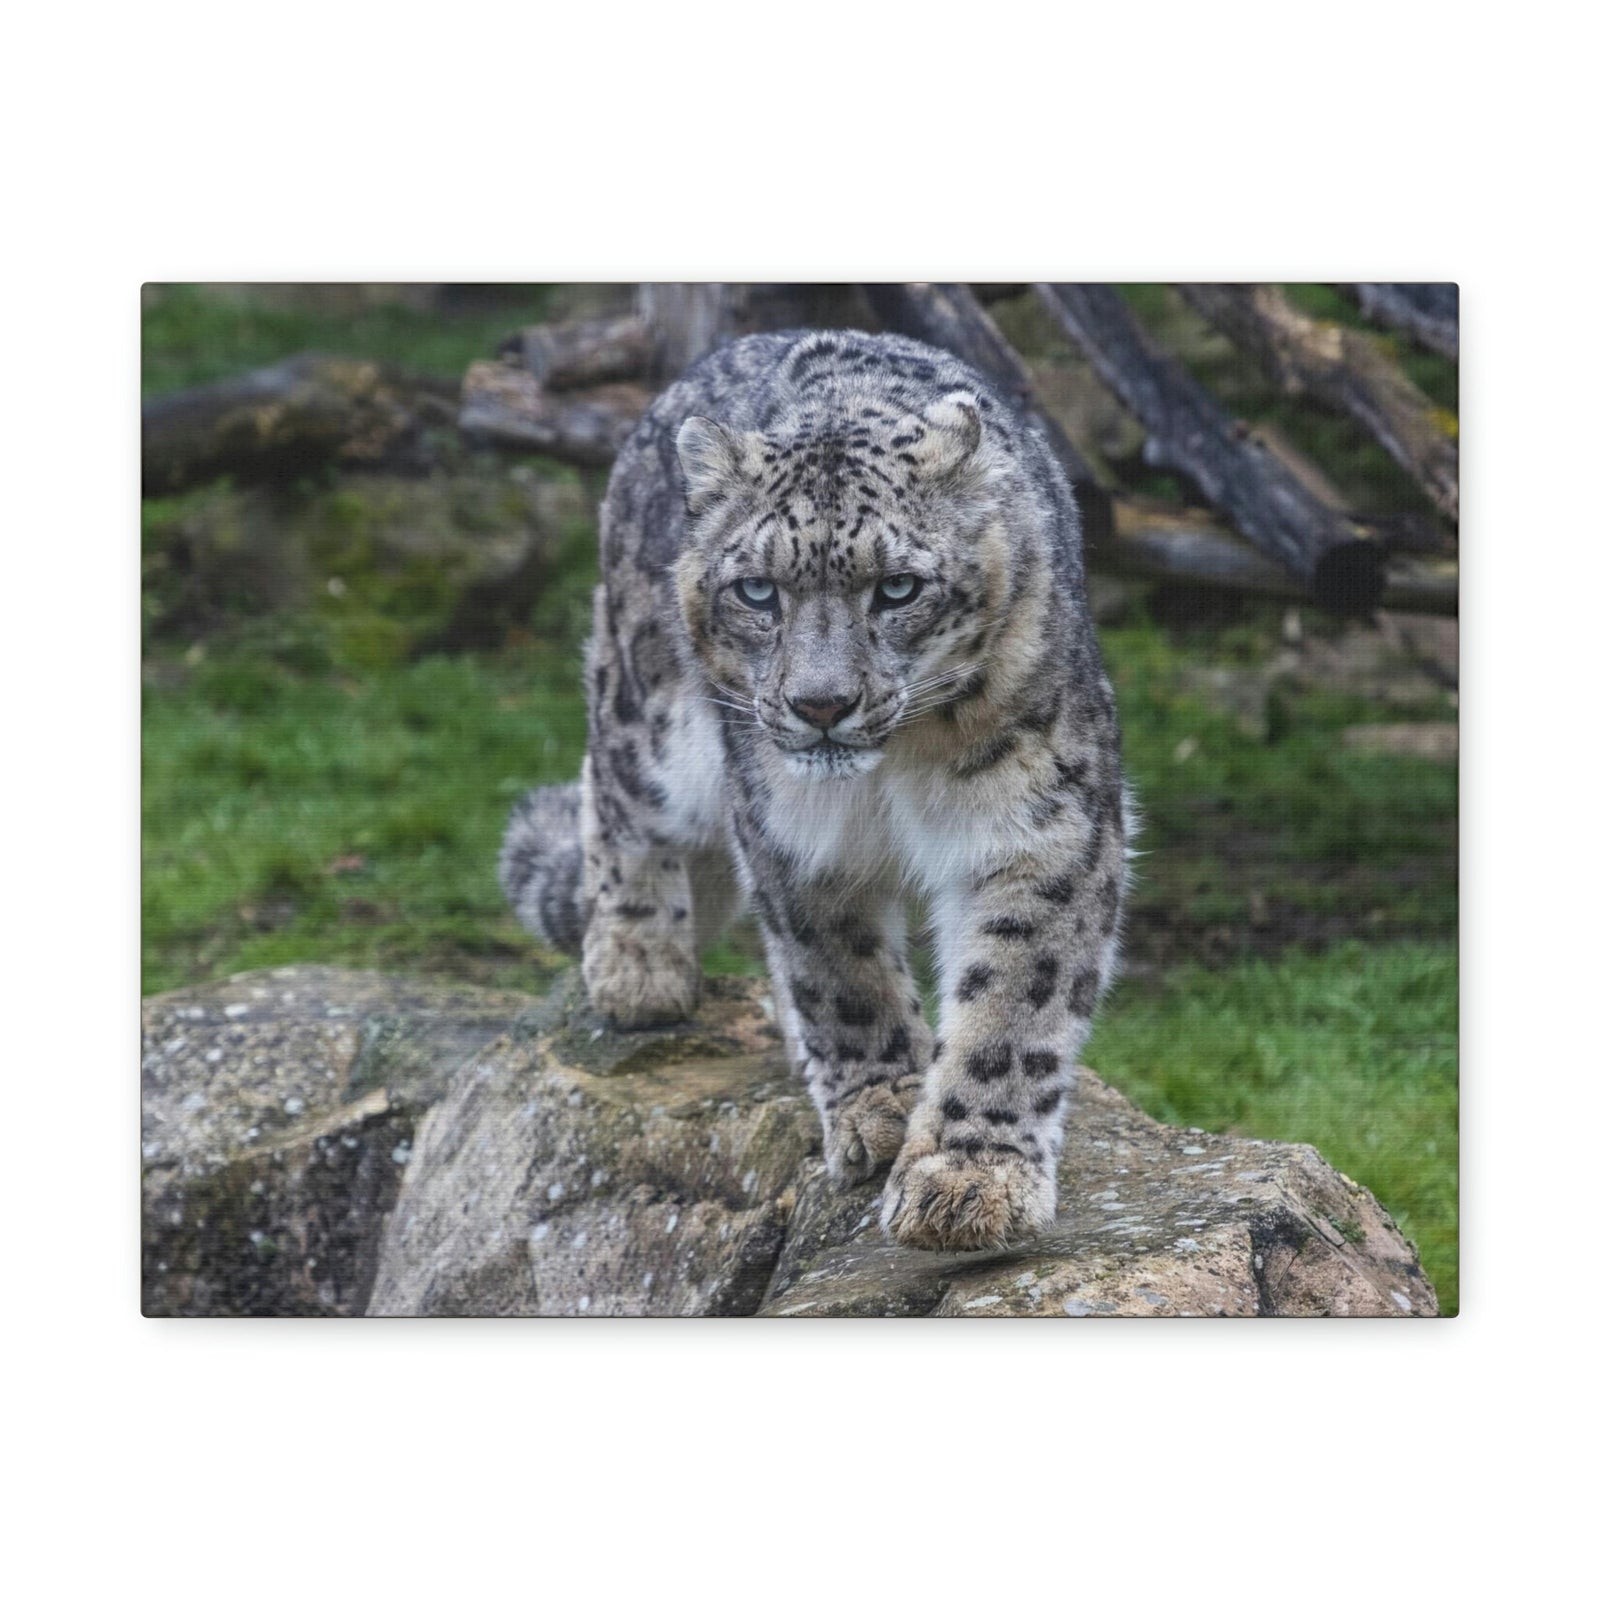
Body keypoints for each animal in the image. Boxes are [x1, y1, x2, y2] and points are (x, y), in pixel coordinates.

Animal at [500, 326, 1130, 1253]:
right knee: (611, 787)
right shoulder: (789, 832)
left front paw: (969, 1177)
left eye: (897, 587)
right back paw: (637, 964)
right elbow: (838, 972)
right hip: (651, 719)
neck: (893, 772)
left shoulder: (1040, 828)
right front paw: (884, 1107)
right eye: (758, 589)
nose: (821, 704)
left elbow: (1013, 1003)